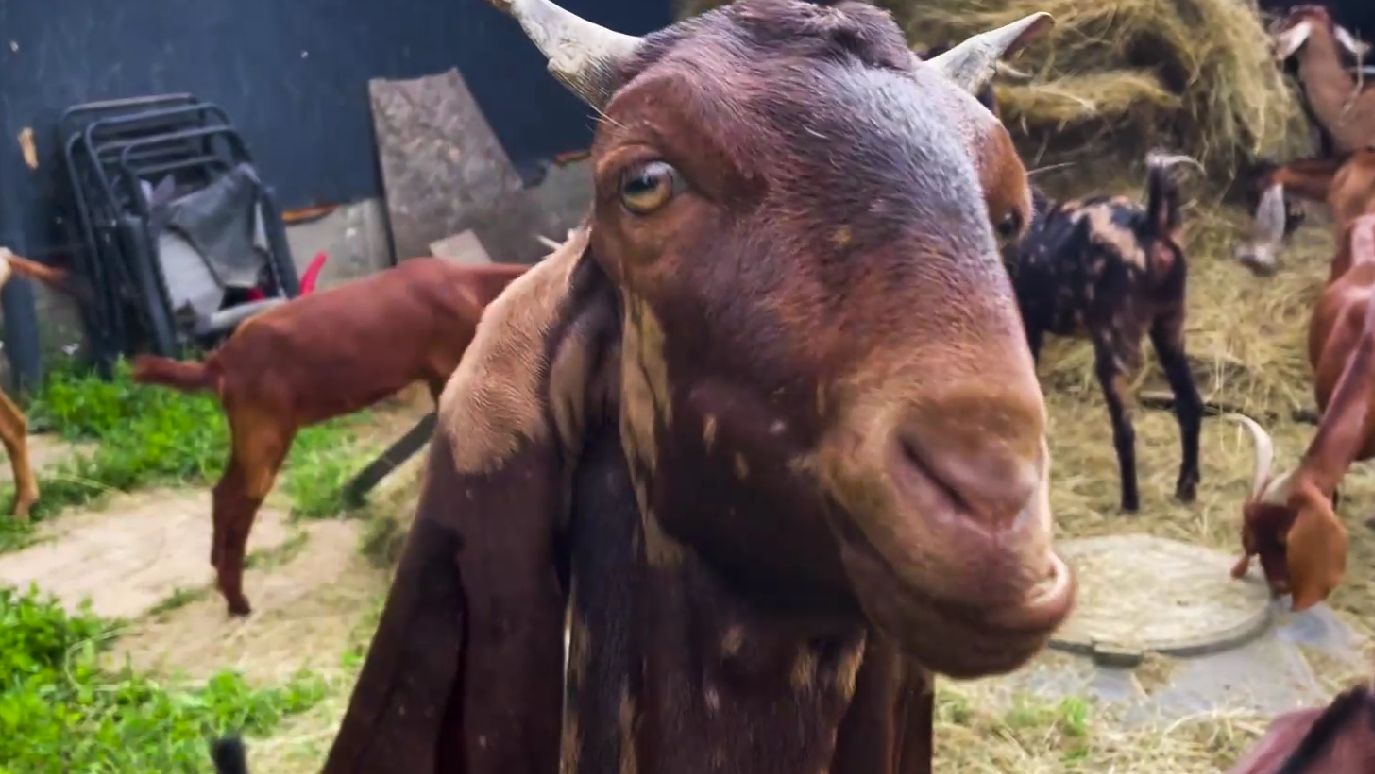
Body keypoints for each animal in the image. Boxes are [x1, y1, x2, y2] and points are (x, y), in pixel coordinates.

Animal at [131, 257, 527, 616]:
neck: (469, 285)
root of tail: (220, 361)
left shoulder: (437, 378)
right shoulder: (451, 366)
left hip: (249, 430)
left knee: (221, 493)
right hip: (266, 432)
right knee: (235, 499)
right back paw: (237, 600)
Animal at [1002, 153, 1203, 513]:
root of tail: (1149, 224)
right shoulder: (1033, 326)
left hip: (1114, 344)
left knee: (1126, 429)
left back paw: (1130, 504)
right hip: (1170, 328)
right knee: (1190, 403)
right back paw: (1185, 490)